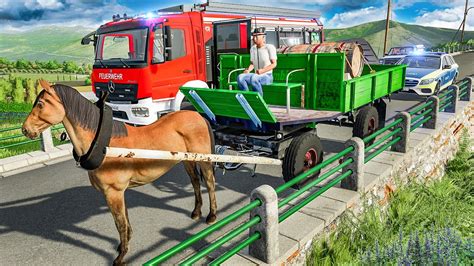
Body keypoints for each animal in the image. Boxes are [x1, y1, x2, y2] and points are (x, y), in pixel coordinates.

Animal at [20, 80, 217, 264]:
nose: (25, 129)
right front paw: (125, 243)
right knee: (195, 181)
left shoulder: (113, 192)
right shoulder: (117, 192)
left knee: (209, 183)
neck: (105, 146)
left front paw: (121, 255)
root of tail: (198, 116)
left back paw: (212, 216)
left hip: (204, 159)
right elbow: (124, 219)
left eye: (40, 104)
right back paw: (196, 212)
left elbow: (119, 223)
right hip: (187, 160)